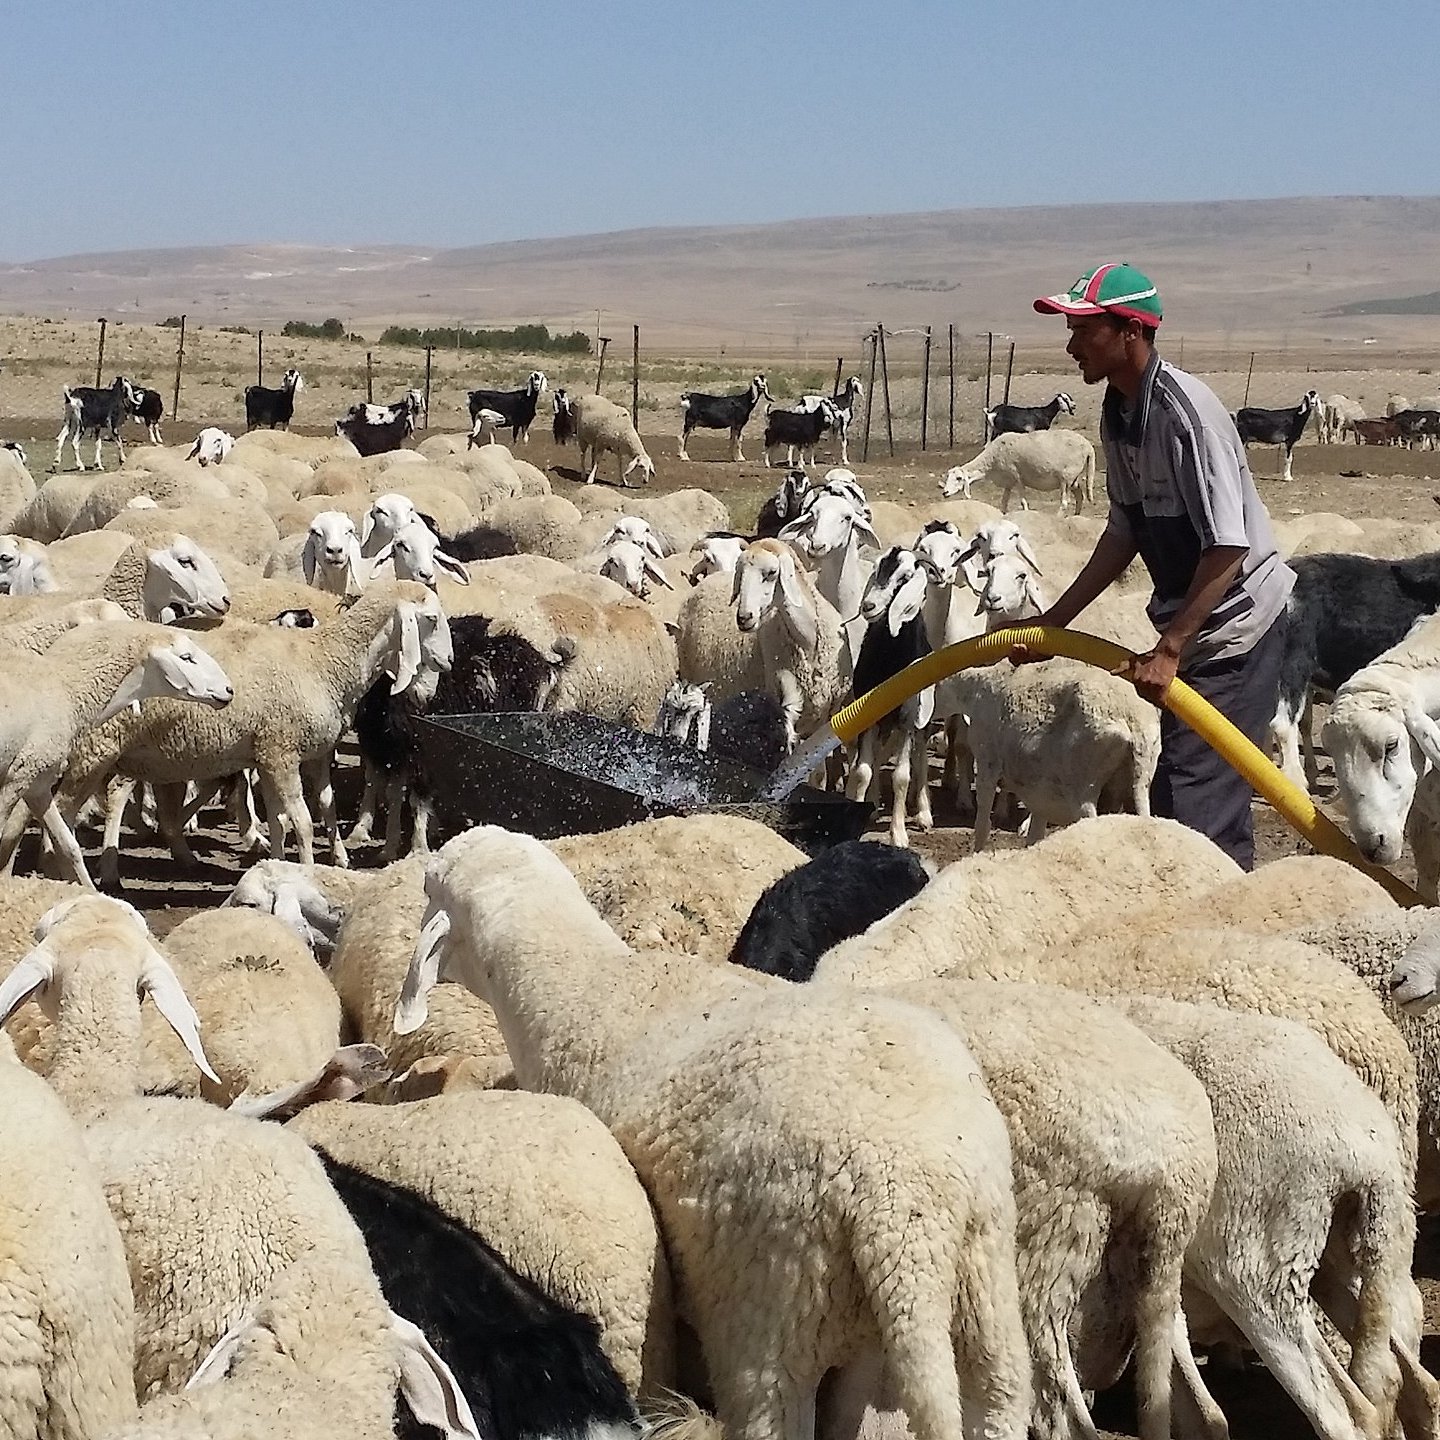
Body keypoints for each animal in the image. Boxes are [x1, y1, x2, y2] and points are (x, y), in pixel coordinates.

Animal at [0, 621, 233, 888]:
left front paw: (90, 890)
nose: (229, 690)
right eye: (186, 657)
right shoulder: (17, 778)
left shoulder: (36, 783)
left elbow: (69, 846)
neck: (67, 690)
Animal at [941, 429, 1096, 513]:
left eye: (959, 478)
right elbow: (1003, 502)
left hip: (1066, 478)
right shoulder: (1008, 482)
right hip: (1073, 479)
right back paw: (1075, 516)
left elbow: (1023, 502)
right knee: (1080, 496)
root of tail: (1089, 446)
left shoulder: (1017, 476)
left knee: (1064, 503)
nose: (945, 493)